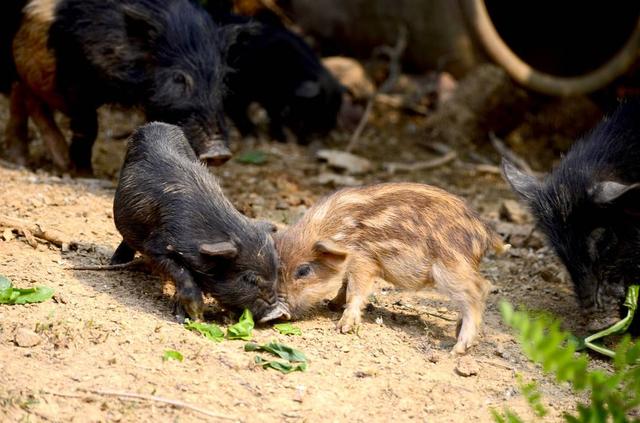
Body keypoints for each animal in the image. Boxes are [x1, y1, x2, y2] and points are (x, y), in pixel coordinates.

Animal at [6, 0, 235, 174]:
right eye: (178, 78)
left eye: (222, 79)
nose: (219, 153)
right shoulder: (75, 75)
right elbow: (87, 127)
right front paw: (84, 174)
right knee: (27, 95)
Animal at [112, 122, 288, 324]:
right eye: (249, 279)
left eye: (277, 272)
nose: (277, 313)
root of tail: (158, 123)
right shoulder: (157, 246)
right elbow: (182, 272)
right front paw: (194, 315)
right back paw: (115, 262)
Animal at [272, 183, 508, 354]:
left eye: (303, 271)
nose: (282, 313)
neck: (340, 231)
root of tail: (485, 233)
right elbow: (344, 285)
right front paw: (332, 305)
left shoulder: (364, 260)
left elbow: (356, 290)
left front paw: (343, 328)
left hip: (451, 268)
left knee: (479, 289)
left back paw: (457, 349)